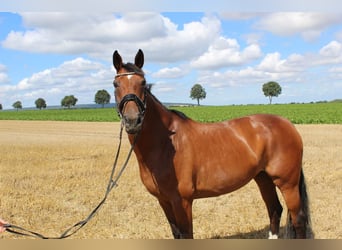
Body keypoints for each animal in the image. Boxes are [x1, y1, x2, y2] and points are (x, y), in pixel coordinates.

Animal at [111, 49, 312, 239]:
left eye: (143, 83)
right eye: (115, 84)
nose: (132, 121)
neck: (166, 145)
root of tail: (287, 124)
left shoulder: (182, 201)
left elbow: (186, 234)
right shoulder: (164, 201)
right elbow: (176, 234)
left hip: (287, 183)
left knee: (298, 219)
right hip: (263, 178)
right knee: (275, 209)